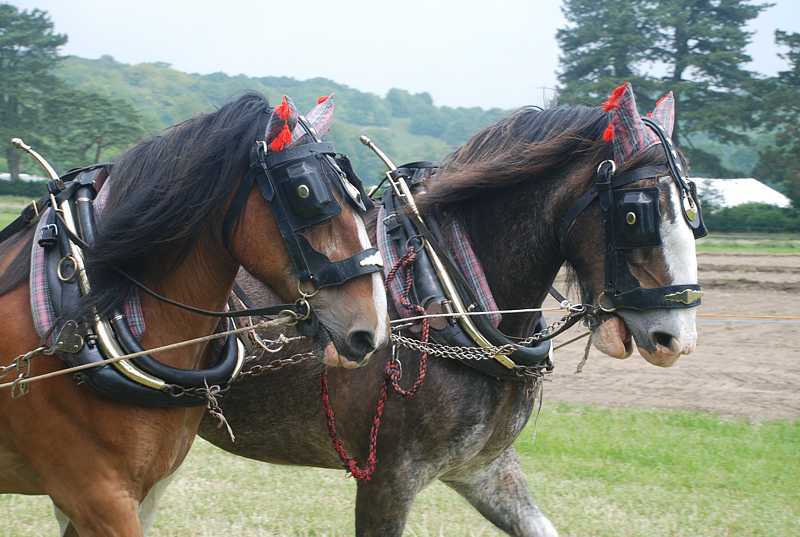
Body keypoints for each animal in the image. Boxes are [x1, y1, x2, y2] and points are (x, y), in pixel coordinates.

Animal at [197, 86, 704, 532]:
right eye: (635, 214)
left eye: (693, 212)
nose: (676, 337)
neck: (451, 289)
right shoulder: (388, 478)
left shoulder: (483, 468)